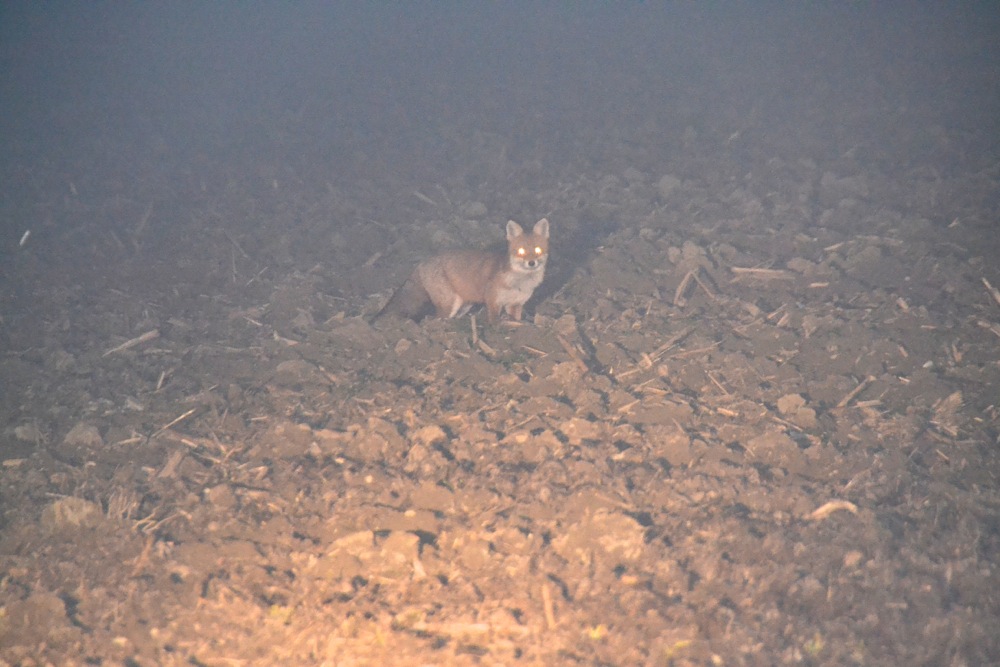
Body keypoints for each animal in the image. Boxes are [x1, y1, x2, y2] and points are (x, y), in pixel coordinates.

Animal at [374, 218, 548, 324]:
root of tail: (422, 263)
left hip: (464, 305)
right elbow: (493, 321)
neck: (520, 283)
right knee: (435, 320)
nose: (531, 263)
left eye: (538, 250)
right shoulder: (493, 301)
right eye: (521, 251)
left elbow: (516, 319)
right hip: (450, 303)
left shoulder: (515, 305)